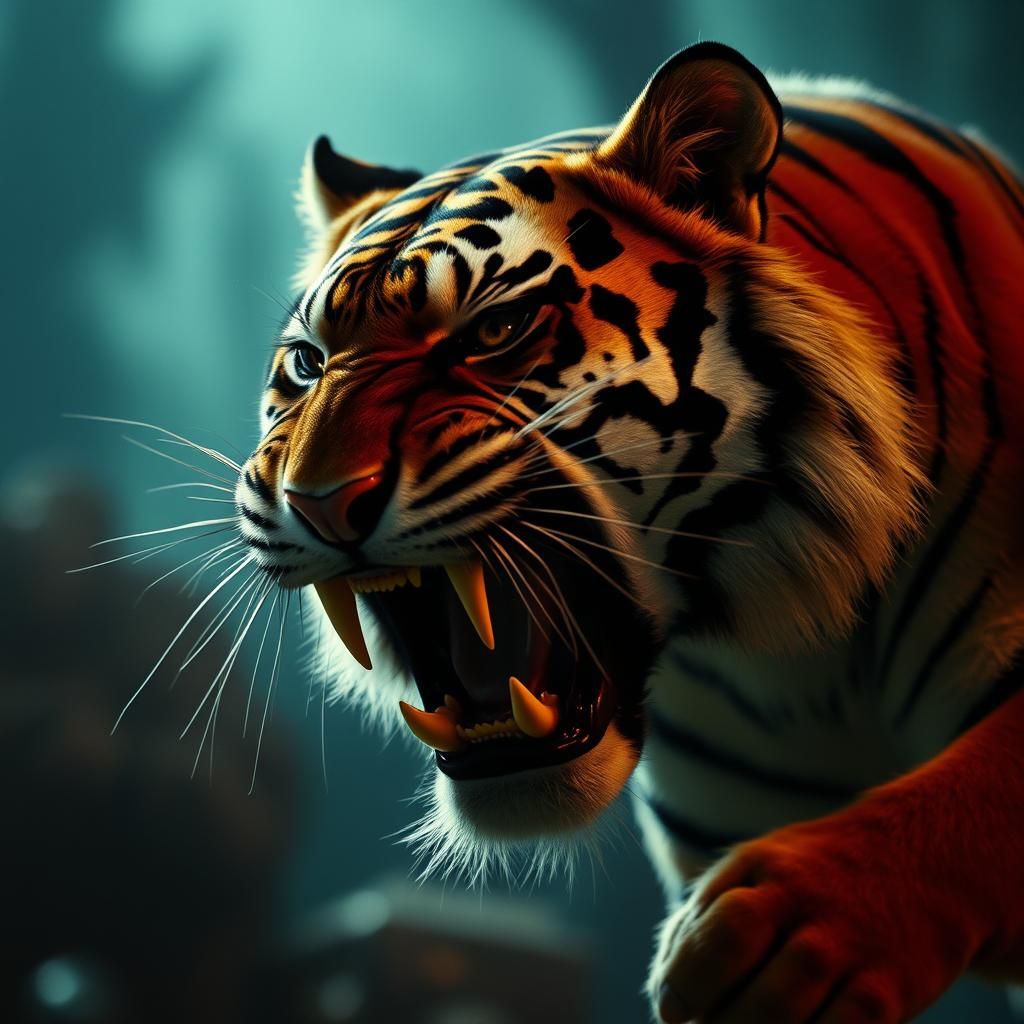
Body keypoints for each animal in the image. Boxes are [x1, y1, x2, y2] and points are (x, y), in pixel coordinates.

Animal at [233, 41, 1024, 1023]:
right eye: (307, 365)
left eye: (495, 330)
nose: (318, 499)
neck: (796, 646)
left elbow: (976, 794)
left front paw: (777, 939)